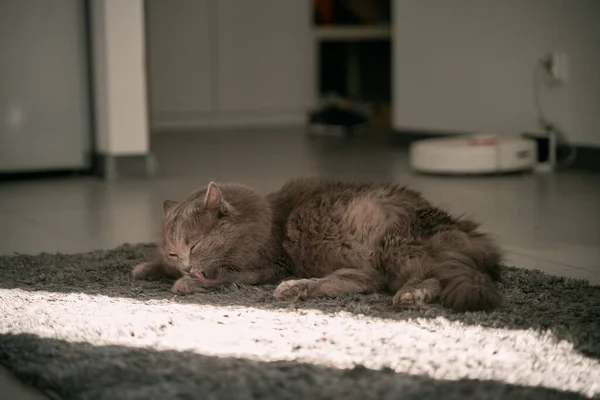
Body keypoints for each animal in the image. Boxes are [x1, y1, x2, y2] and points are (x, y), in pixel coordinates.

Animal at [134, 179, 504, 312]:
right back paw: (296, 290)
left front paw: (185, 283)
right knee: (361, 281)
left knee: (429, 279)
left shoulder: (270, 265)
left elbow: (225, 277)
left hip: (396, 247)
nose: (186, 265)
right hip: (377, 261)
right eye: (175, 251)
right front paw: (146, 267)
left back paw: (411, 295)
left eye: (195, 245)